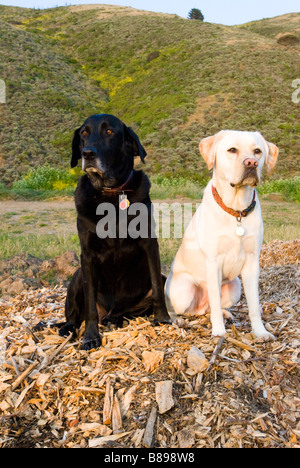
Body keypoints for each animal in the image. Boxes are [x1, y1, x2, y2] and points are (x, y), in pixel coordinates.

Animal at [59, 114, 171, 352]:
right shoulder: (87, 255)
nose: (88, 154)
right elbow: (90, 306)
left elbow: (158, 289)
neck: (110, 195)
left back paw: (115, 319)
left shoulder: (150, 244)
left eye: (109, 132)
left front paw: (163, 318)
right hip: (78, 274)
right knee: (74, 316)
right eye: (84, 133)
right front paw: (91, 336)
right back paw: (69, 328)